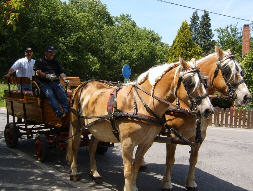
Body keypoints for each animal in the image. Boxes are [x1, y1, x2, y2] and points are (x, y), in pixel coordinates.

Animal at [66, 58, 212, 191]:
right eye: (189, 82)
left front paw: (134, 186)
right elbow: (128, 169)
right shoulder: (127, 143)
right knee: (75, 146)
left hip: (97, 129)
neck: (142, 104)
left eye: (205, 82)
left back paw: (94, 173)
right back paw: (74, 172)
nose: (208, 110)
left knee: (92, 147)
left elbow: (135, 165)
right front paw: (129, 188)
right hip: (76, 124)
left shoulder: (146, 142)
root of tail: (82, 85)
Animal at [160, 45, 251, 190]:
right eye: (227, 71)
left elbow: (193, 160)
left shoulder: (200, 136)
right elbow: (170, 160)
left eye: (241, 70)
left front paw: (191, 182)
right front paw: (167, 183)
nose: (247, 96)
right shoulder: (172, 135)